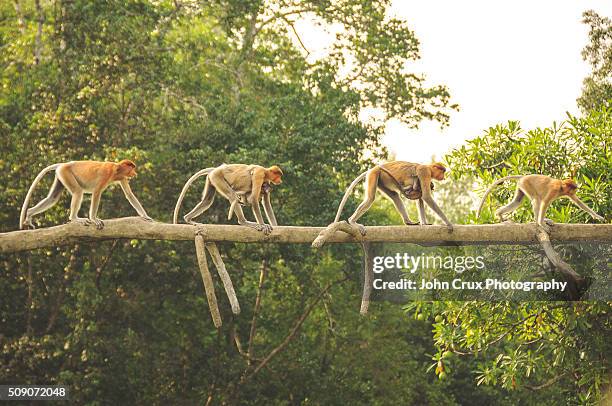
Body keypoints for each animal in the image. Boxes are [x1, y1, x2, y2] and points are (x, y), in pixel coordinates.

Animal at [19, 159, 153, 230]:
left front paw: (146, 216)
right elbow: (96, 192)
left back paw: (29, 213)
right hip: (66, 173)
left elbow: (129, 194)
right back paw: (75, 218)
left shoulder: (122, 178)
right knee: (78, 192)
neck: (117, 169)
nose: (135, 174)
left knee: (53, 197)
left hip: (60, 175)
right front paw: (94, 219)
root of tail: (63, 164)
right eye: (132, 168)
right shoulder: (106, 174)